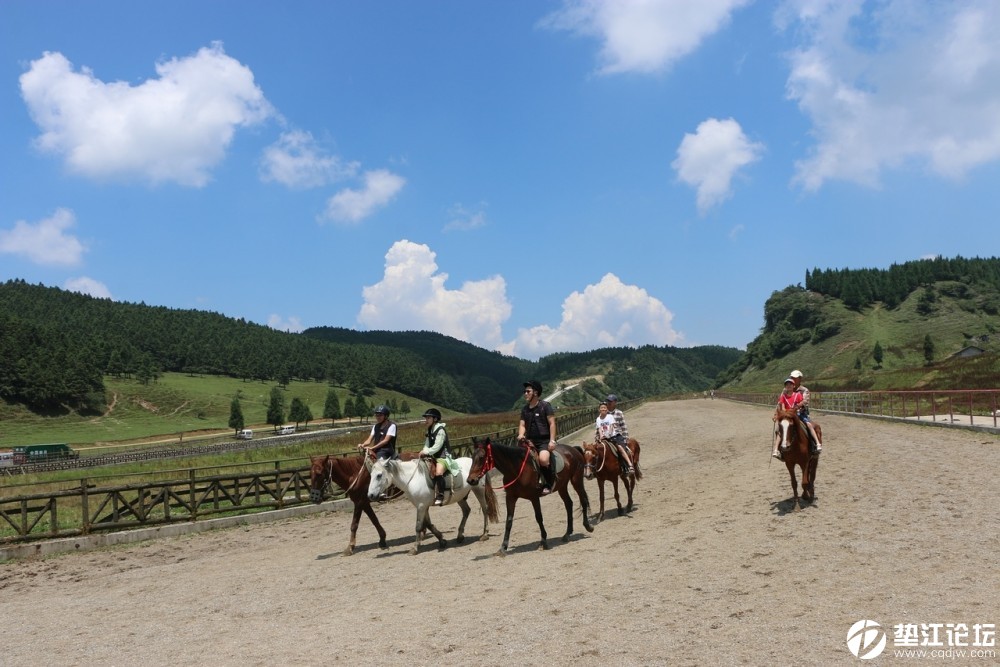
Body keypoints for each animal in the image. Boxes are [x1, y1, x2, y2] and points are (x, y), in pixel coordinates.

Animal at [368, 456, 500, 556]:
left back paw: (484, 534)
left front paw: (414, 548)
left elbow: (418, 526)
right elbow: (428, 524)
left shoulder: (421, 506)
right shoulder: (423, 506)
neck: (412, 479)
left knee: (485, 509)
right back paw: (460, 536)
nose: (370, 495)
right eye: (370, 475)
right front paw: (442, 540)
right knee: (466, 511)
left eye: (379, 475)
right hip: (460, 497)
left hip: (478, 489)